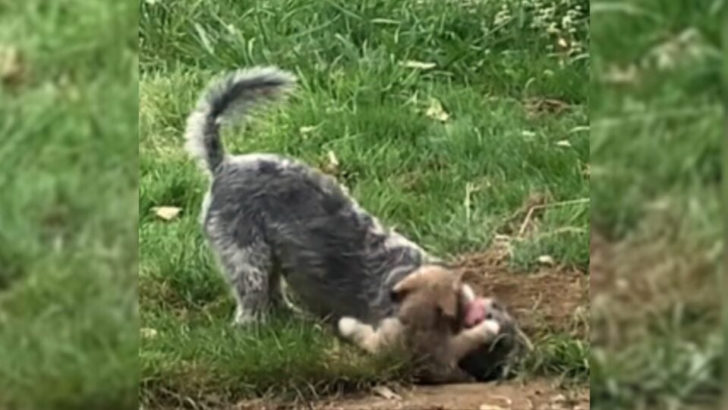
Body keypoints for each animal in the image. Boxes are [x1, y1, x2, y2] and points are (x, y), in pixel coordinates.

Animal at [336, 266, 500, 382]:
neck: (415, 325)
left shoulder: (379, 339)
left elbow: (361, 333)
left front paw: (348, 324)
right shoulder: (449, 351)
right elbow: (469, 337)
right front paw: (490, 327)